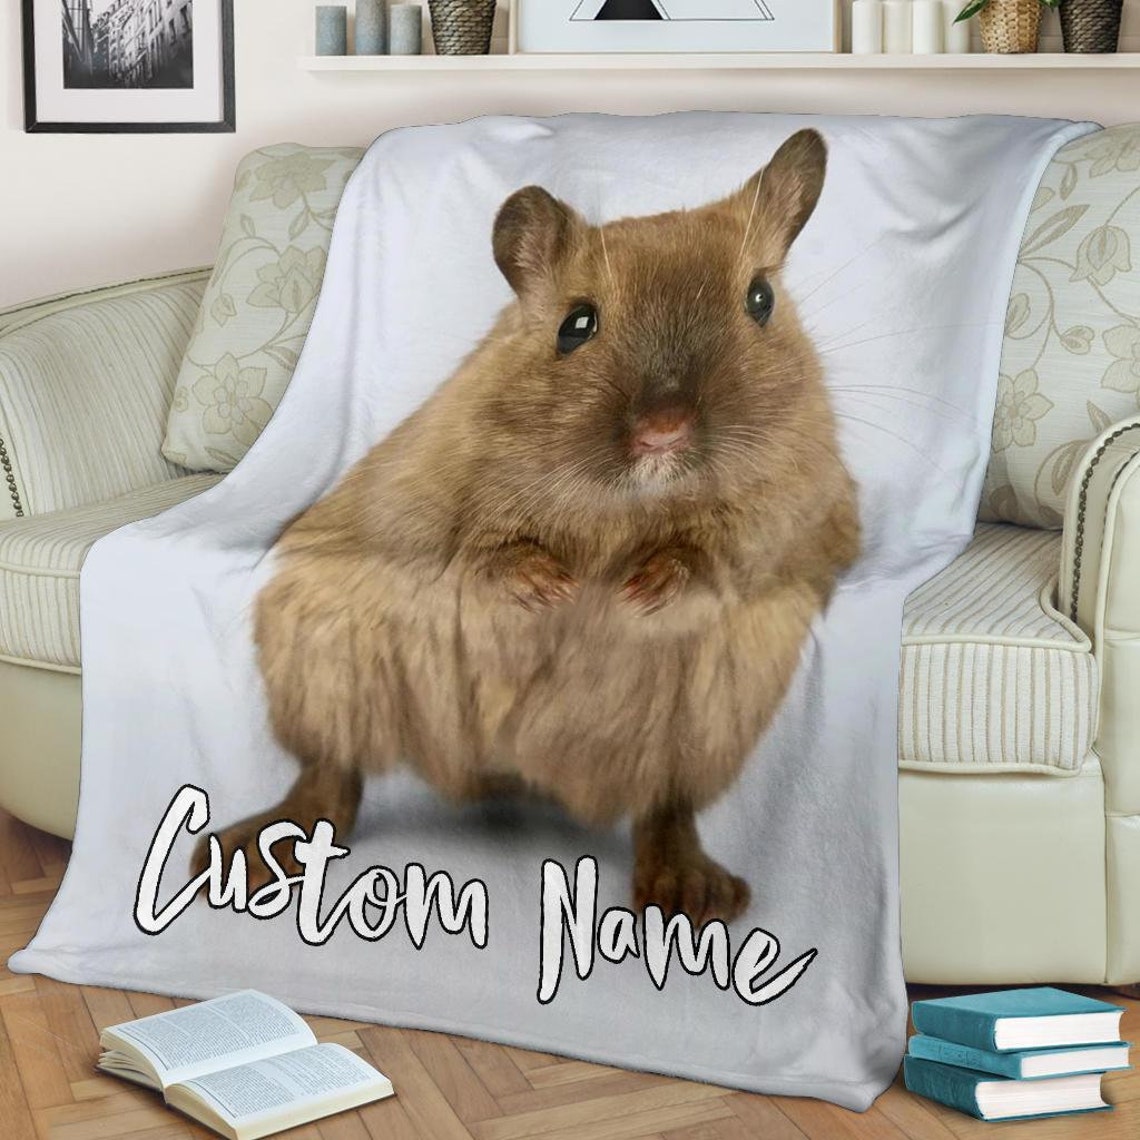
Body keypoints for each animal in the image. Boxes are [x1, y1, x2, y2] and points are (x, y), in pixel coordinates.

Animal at [200, 129, 860, 926]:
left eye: (760, 300)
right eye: (576, 325)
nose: (663, 431)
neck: (626, 503)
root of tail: (507, 767)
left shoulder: (803, 502)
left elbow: (727, 544)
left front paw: (642, 587)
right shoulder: (437, 494)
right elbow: (477, 550)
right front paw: (554, 587)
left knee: (665, 802)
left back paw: (689, 894)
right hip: (318, 644)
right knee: (333, 773)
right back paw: (251, 853)